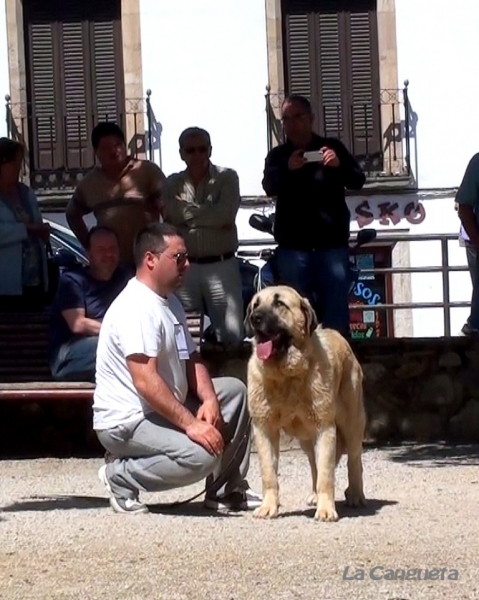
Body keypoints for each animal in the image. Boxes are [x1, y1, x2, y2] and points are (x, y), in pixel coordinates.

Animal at [246, 286, 370, 520]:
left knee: (354, 459)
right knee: (314, 463)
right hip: (306, 437)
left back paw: (356, 495)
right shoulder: (264, 429)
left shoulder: (325, 428)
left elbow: (326, 474)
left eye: (279, 303)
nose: (254, 317)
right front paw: (269, 506)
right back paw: (314, 496)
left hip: (351, 423)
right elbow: (269, 473)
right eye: (256, 304)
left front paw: (326, 509)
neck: (287, 374)